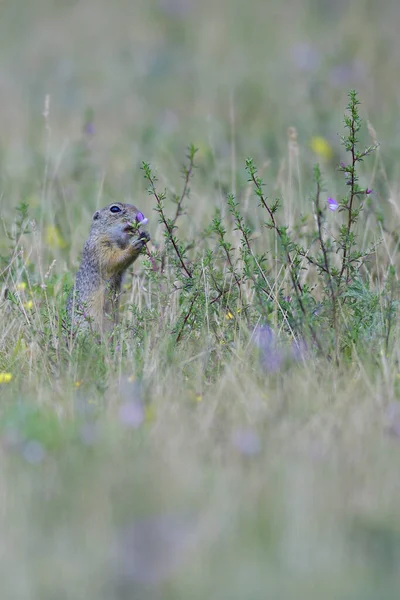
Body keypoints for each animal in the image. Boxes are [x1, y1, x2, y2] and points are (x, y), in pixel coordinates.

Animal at [67, 202, 150, 332]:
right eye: (114, 209)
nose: (139, 215)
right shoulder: (100, 247)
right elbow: (114, 259)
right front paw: (135, 245)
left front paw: (145, 235)